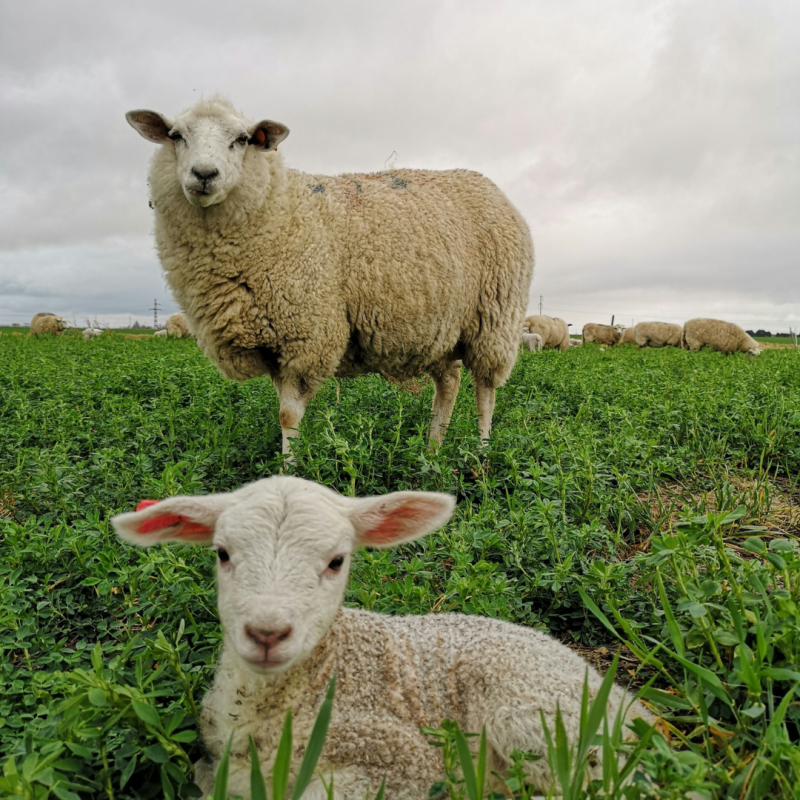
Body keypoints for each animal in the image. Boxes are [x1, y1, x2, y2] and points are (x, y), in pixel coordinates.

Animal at [111, 476, 648, 800]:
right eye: (222, 553)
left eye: (336, 561)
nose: (267, 633)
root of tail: (631, 707)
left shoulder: (400, 761)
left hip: (537, 721)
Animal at [128, 97, 536, 454]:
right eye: (176, 135)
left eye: (242, 139)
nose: (204, 175)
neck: (281, 210)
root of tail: (490, 186)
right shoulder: (276, 341)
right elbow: (282, 412)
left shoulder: (306, 334)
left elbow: (287, 416)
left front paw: (288, 473)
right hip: (443, 328)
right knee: (448, 384)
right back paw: (433, 450)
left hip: (494, 320)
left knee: (486, 391)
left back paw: (480, 454)